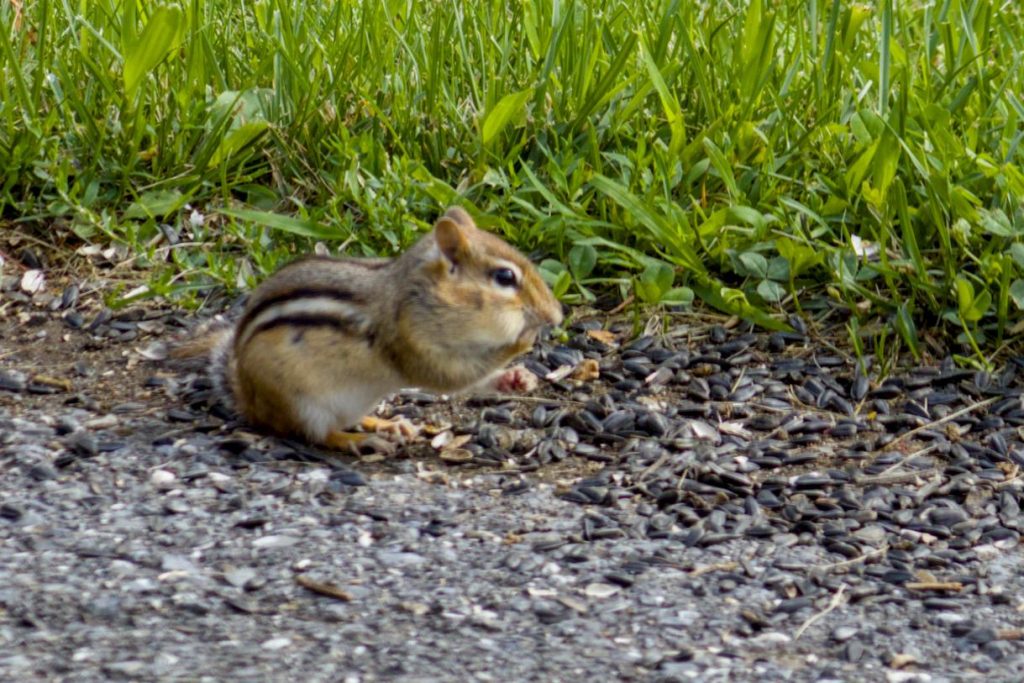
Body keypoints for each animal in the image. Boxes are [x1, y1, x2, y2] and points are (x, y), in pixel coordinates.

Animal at [173, 206, 563, 451]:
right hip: (303, 405)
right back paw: (360, 440)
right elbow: (451, 379)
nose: (557, 316)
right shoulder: (411, 342)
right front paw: (521, 343)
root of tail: (250, 400)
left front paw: (516, 378)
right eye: (505, 277)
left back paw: (387, 425)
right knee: (318, 435)